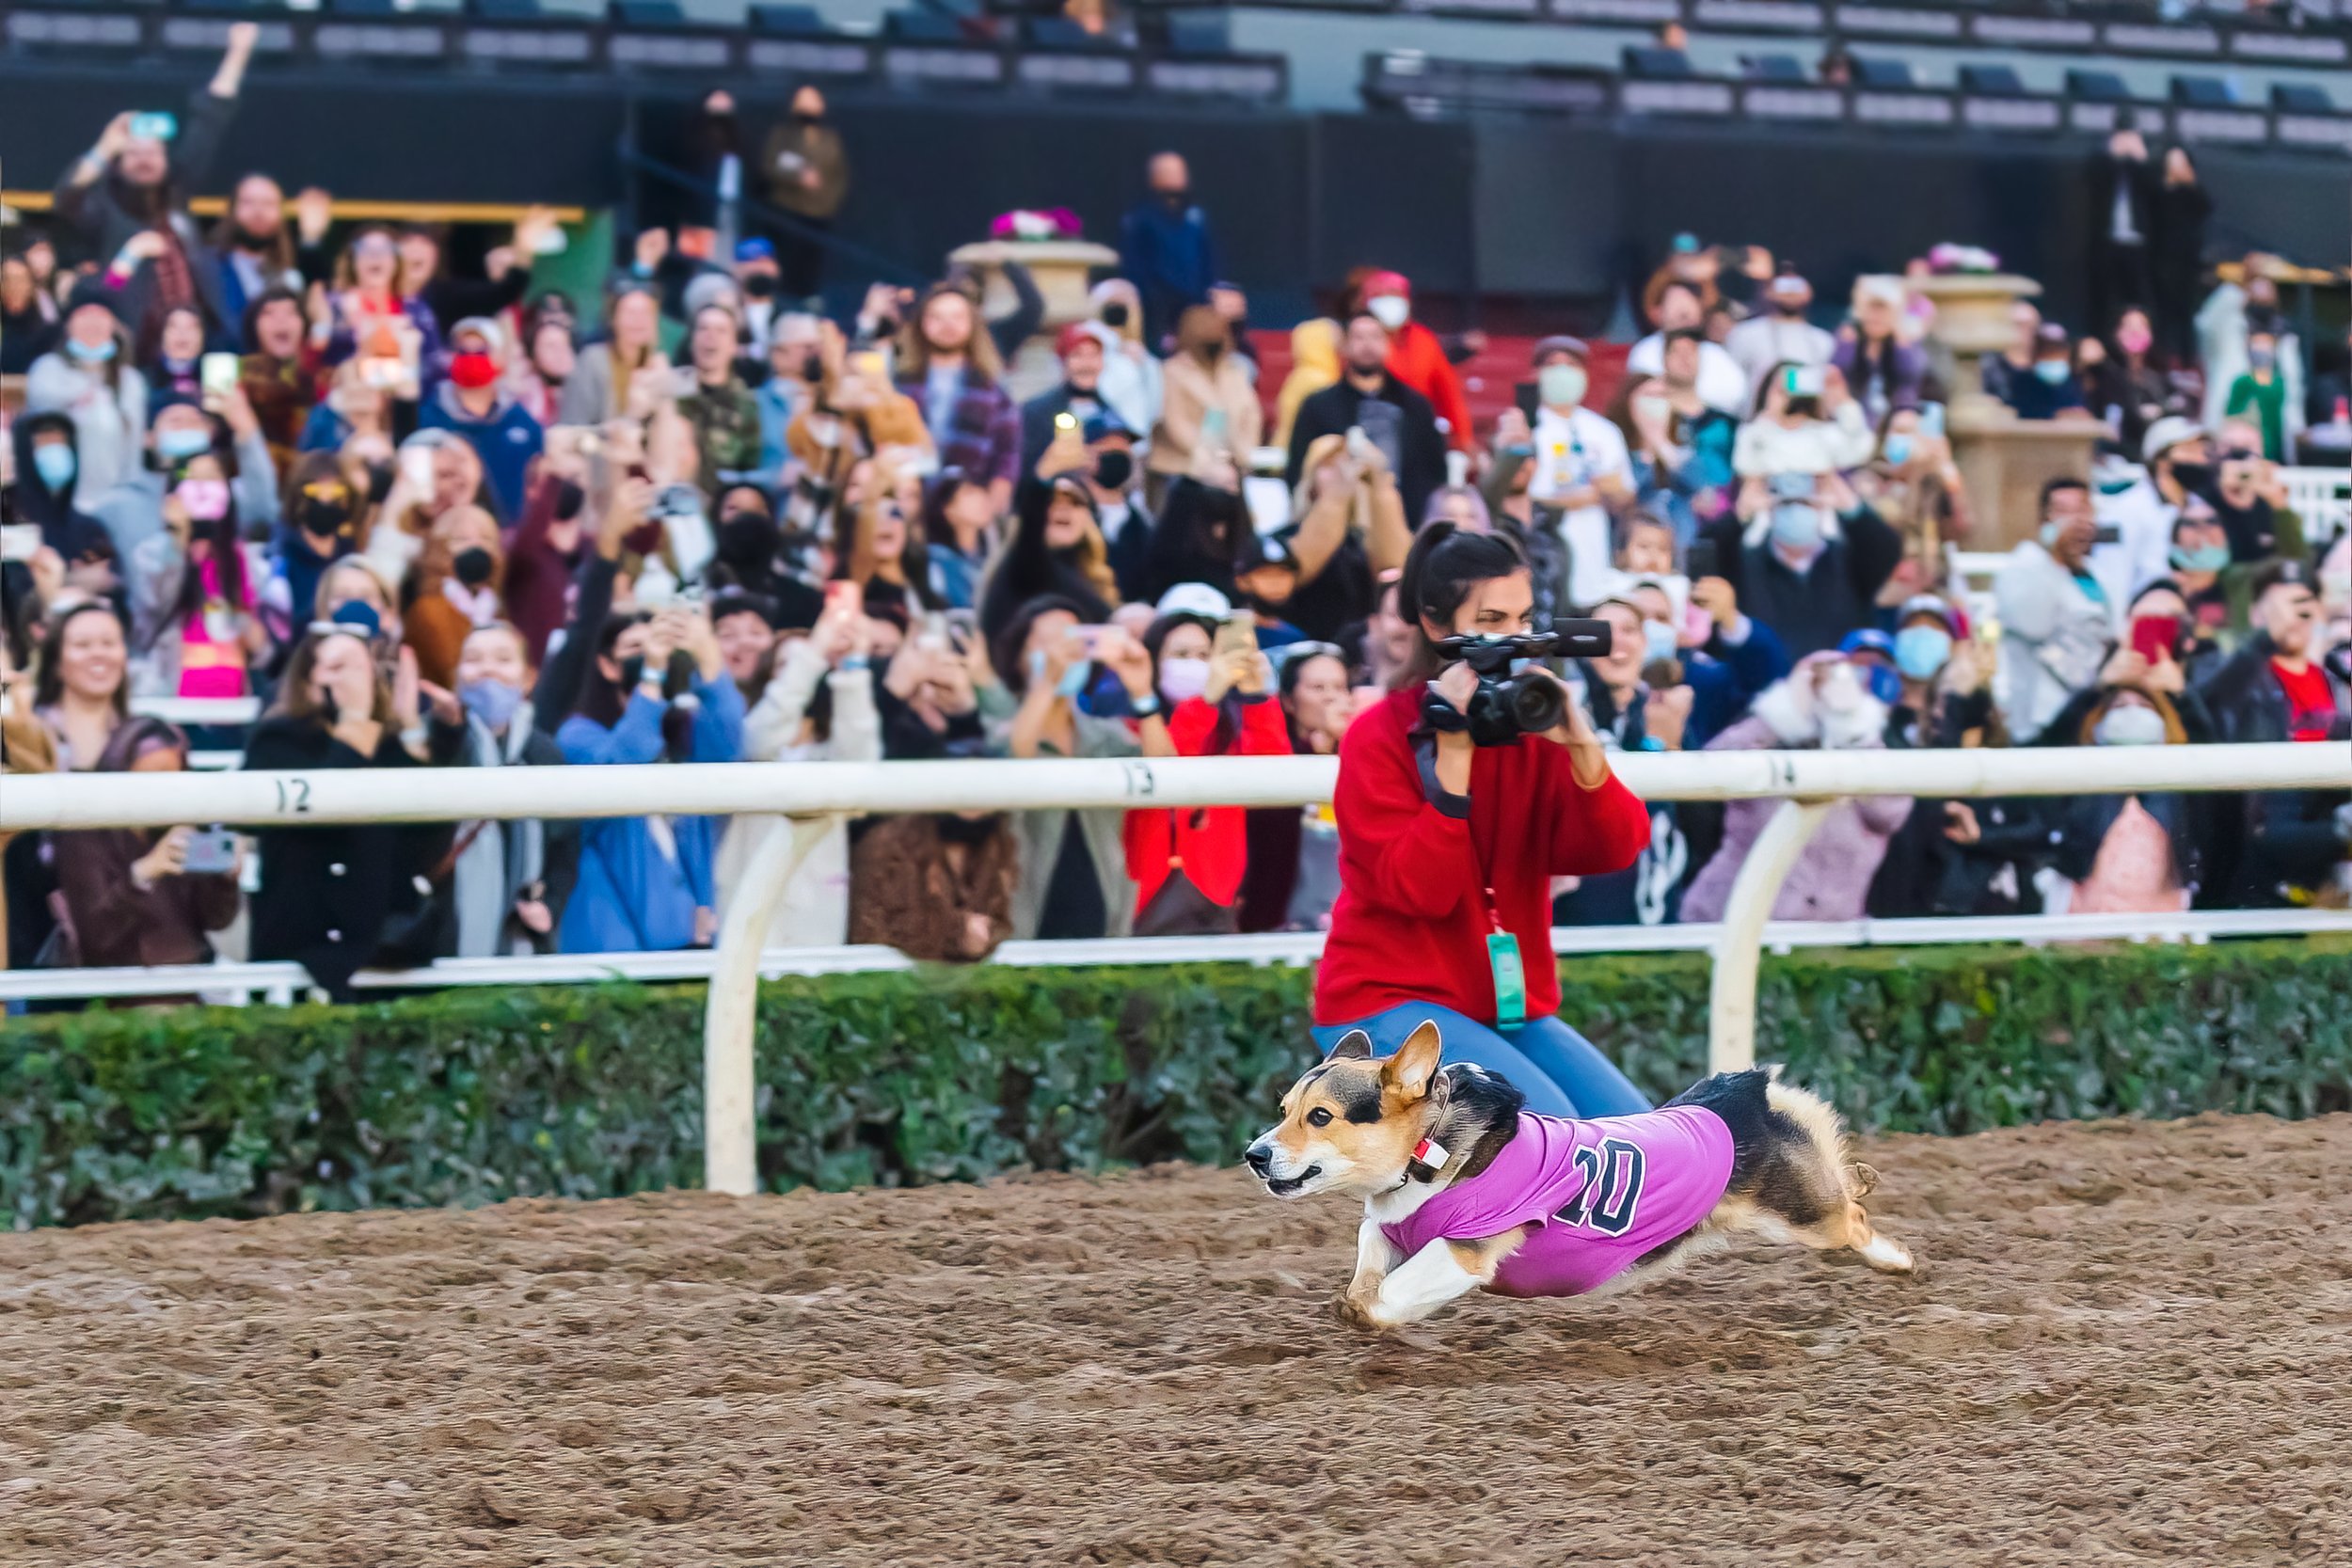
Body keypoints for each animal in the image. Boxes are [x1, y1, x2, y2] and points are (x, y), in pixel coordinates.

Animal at [1242, 1020, 1919, 1335]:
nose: (1254, 1153)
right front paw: (1358, 1303)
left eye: (1320, 1116)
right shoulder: (1384, 1229)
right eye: (1283, 1110)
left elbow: (1391, 1292)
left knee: (1853, 1216)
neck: (1427, 1154)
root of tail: (1741, 1087)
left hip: (1804, 1216)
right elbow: (1367, 1270)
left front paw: (1373, 1314)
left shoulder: (1463, 1250)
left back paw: (1899, 1260)